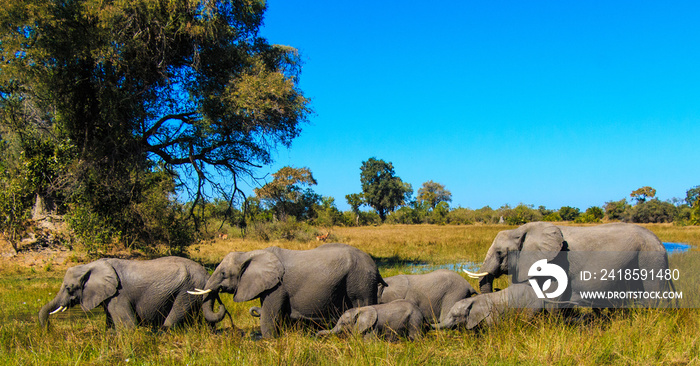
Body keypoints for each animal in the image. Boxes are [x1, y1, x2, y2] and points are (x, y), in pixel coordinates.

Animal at [38, 256, 227, 330]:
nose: (48, 330)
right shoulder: (109, 297)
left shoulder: (118, 296)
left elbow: (128, 326)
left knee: (173, 318)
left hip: (187, 290)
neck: (91, 265)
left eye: (69, 288)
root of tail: (206, 273)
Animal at [189, 243, 386, 338]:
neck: (251, 253)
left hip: (360, 281)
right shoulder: (269, 285)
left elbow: (269, 315)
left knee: (363, 303)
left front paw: (269, 341)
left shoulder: (278, 286)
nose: (220, 302)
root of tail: (375, 266)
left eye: (223, 273)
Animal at [464, 223, 672, 306]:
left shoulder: (557, 263)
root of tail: (660, 242)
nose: (496, 288)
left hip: (649, 259)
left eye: (500, 253)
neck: (521, 230)